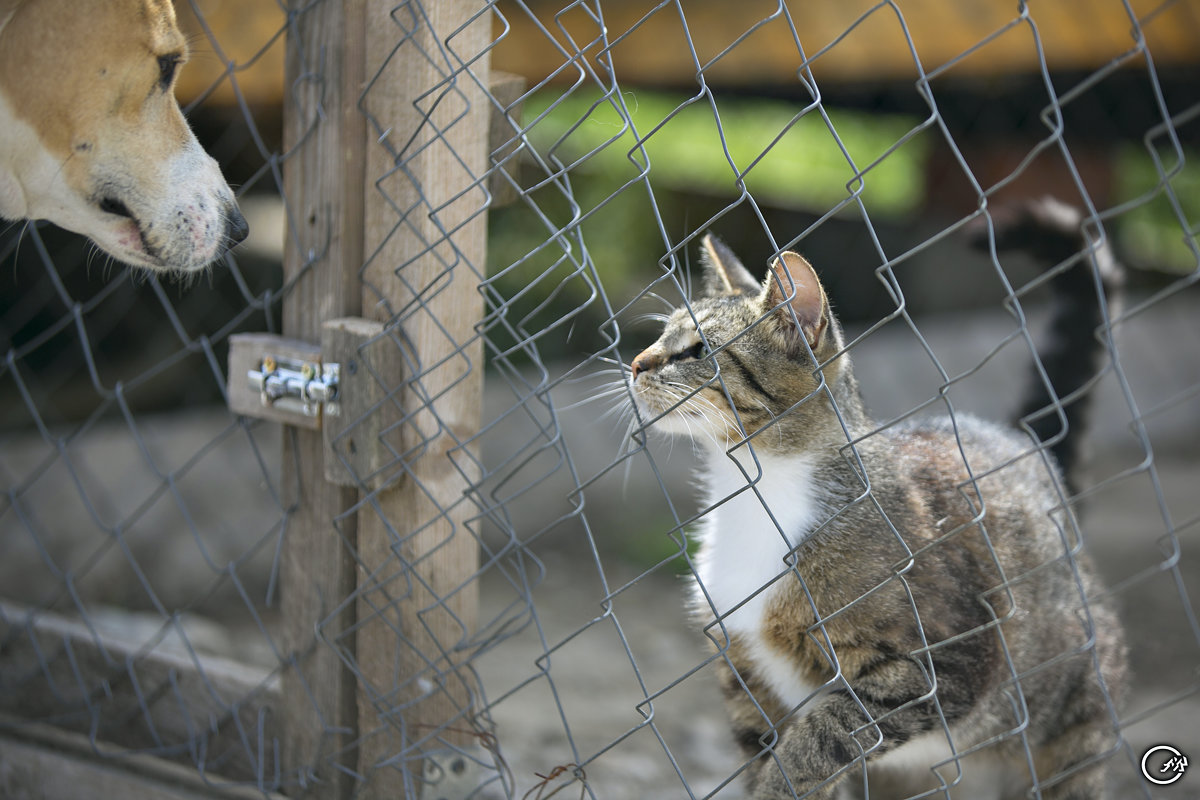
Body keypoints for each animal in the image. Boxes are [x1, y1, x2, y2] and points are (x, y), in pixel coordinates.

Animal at [628, 199, 1123, 796]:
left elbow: (821, 735)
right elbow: (767, 751)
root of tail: (1026, 449)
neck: (760, 488)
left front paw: (781, 782)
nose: (635, 363)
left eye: (697, 350)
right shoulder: (745, 679)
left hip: (1074, 723)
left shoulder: (941, 665)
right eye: (661, 337)